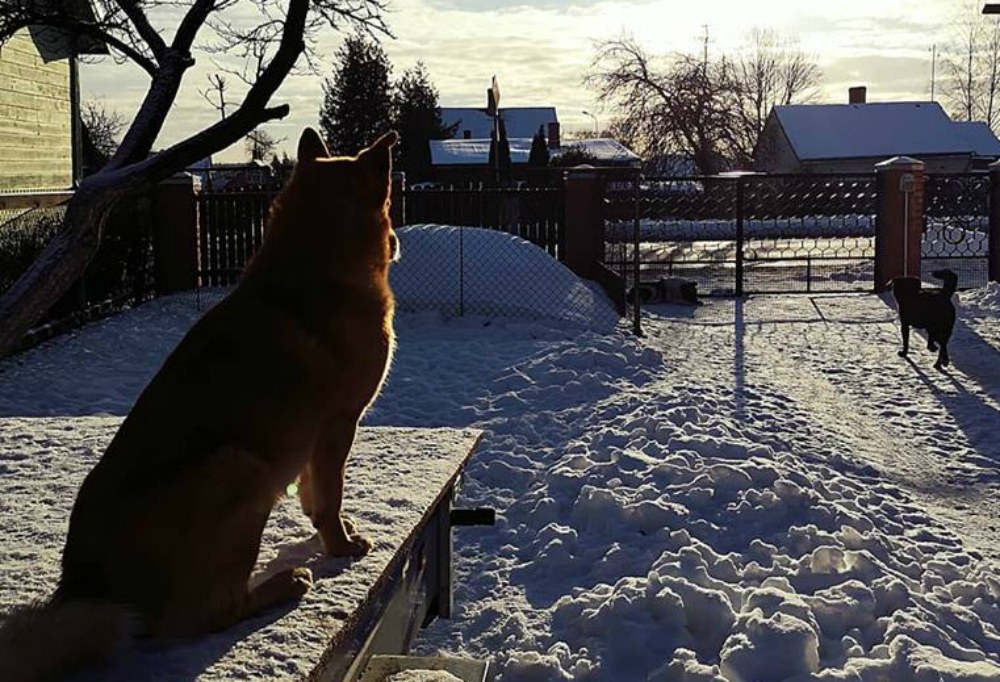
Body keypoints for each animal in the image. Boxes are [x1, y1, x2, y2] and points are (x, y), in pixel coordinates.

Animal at [0, 129, 398, 680]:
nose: (397, 241)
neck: (314, 264)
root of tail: (89, 586)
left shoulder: (313, 441)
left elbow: (315, 495)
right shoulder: (337, 425)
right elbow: (330, 497)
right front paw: (339, 547)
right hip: (241, 467)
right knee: (210, 614)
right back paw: (283, 585)